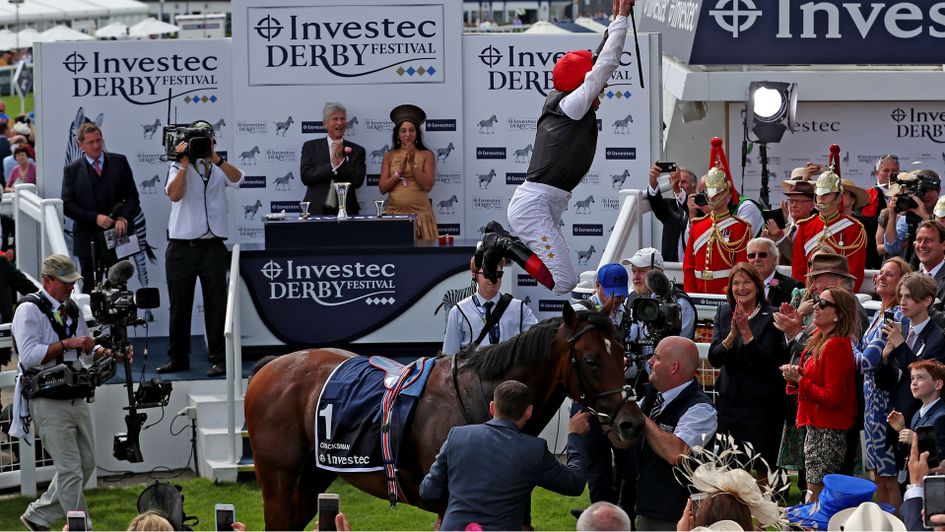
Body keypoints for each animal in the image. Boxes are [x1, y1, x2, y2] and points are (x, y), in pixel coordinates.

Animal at [243, 304, 644, 528]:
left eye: (623, 353)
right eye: (591, 360)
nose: (632, 424)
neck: (484, 401)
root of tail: (271, 367)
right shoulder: (446, 504)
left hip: (311, 481)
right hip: (278, 482)